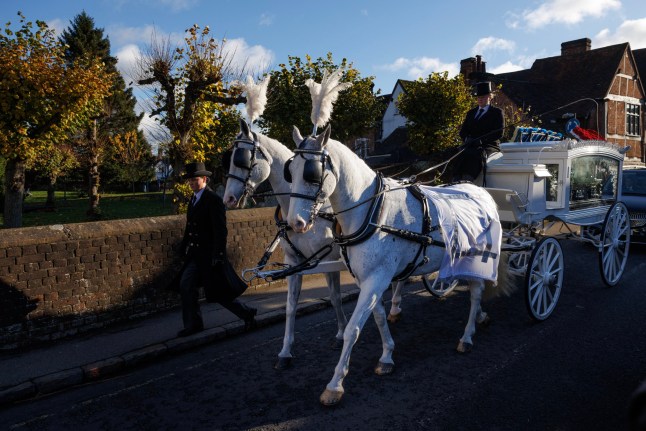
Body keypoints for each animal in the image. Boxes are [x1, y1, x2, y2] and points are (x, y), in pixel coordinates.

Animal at [223, 120, 404, 370]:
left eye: (241, 158)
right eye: (230, 158)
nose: (228, 199)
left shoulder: (327, 258)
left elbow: (335, 297)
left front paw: (340, 334)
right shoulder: (294, 262)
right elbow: (291, 306)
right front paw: (285, 351)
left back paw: (394, 307)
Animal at [286, 124, 508, 404]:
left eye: (312, 174)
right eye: (290, 171)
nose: (295, 223)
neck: (372, 211)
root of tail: (482, 193)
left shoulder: (376, 279)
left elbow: (352, 329)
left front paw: (335, 384)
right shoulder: (369, 280)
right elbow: (379, 317)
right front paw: (387, 355)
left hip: (478, 257)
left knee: (476, 292)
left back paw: (467, 336)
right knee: (473, 290)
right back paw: (479, 317)